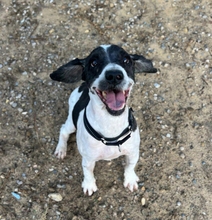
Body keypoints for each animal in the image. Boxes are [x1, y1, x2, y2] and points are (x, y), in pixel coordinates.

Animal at [49, 43, 156, 195]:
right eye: (93, 63)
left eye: (126, 60)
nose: (114, 75)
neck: (111, 123)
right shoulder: (88, 159)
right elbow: (88, 172)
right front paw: (89, 185)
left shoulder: (133, 152)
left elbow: (130, 166)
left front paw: (130, 179)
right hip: (71, 123)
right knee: (63, 130)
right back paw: (61, 149)